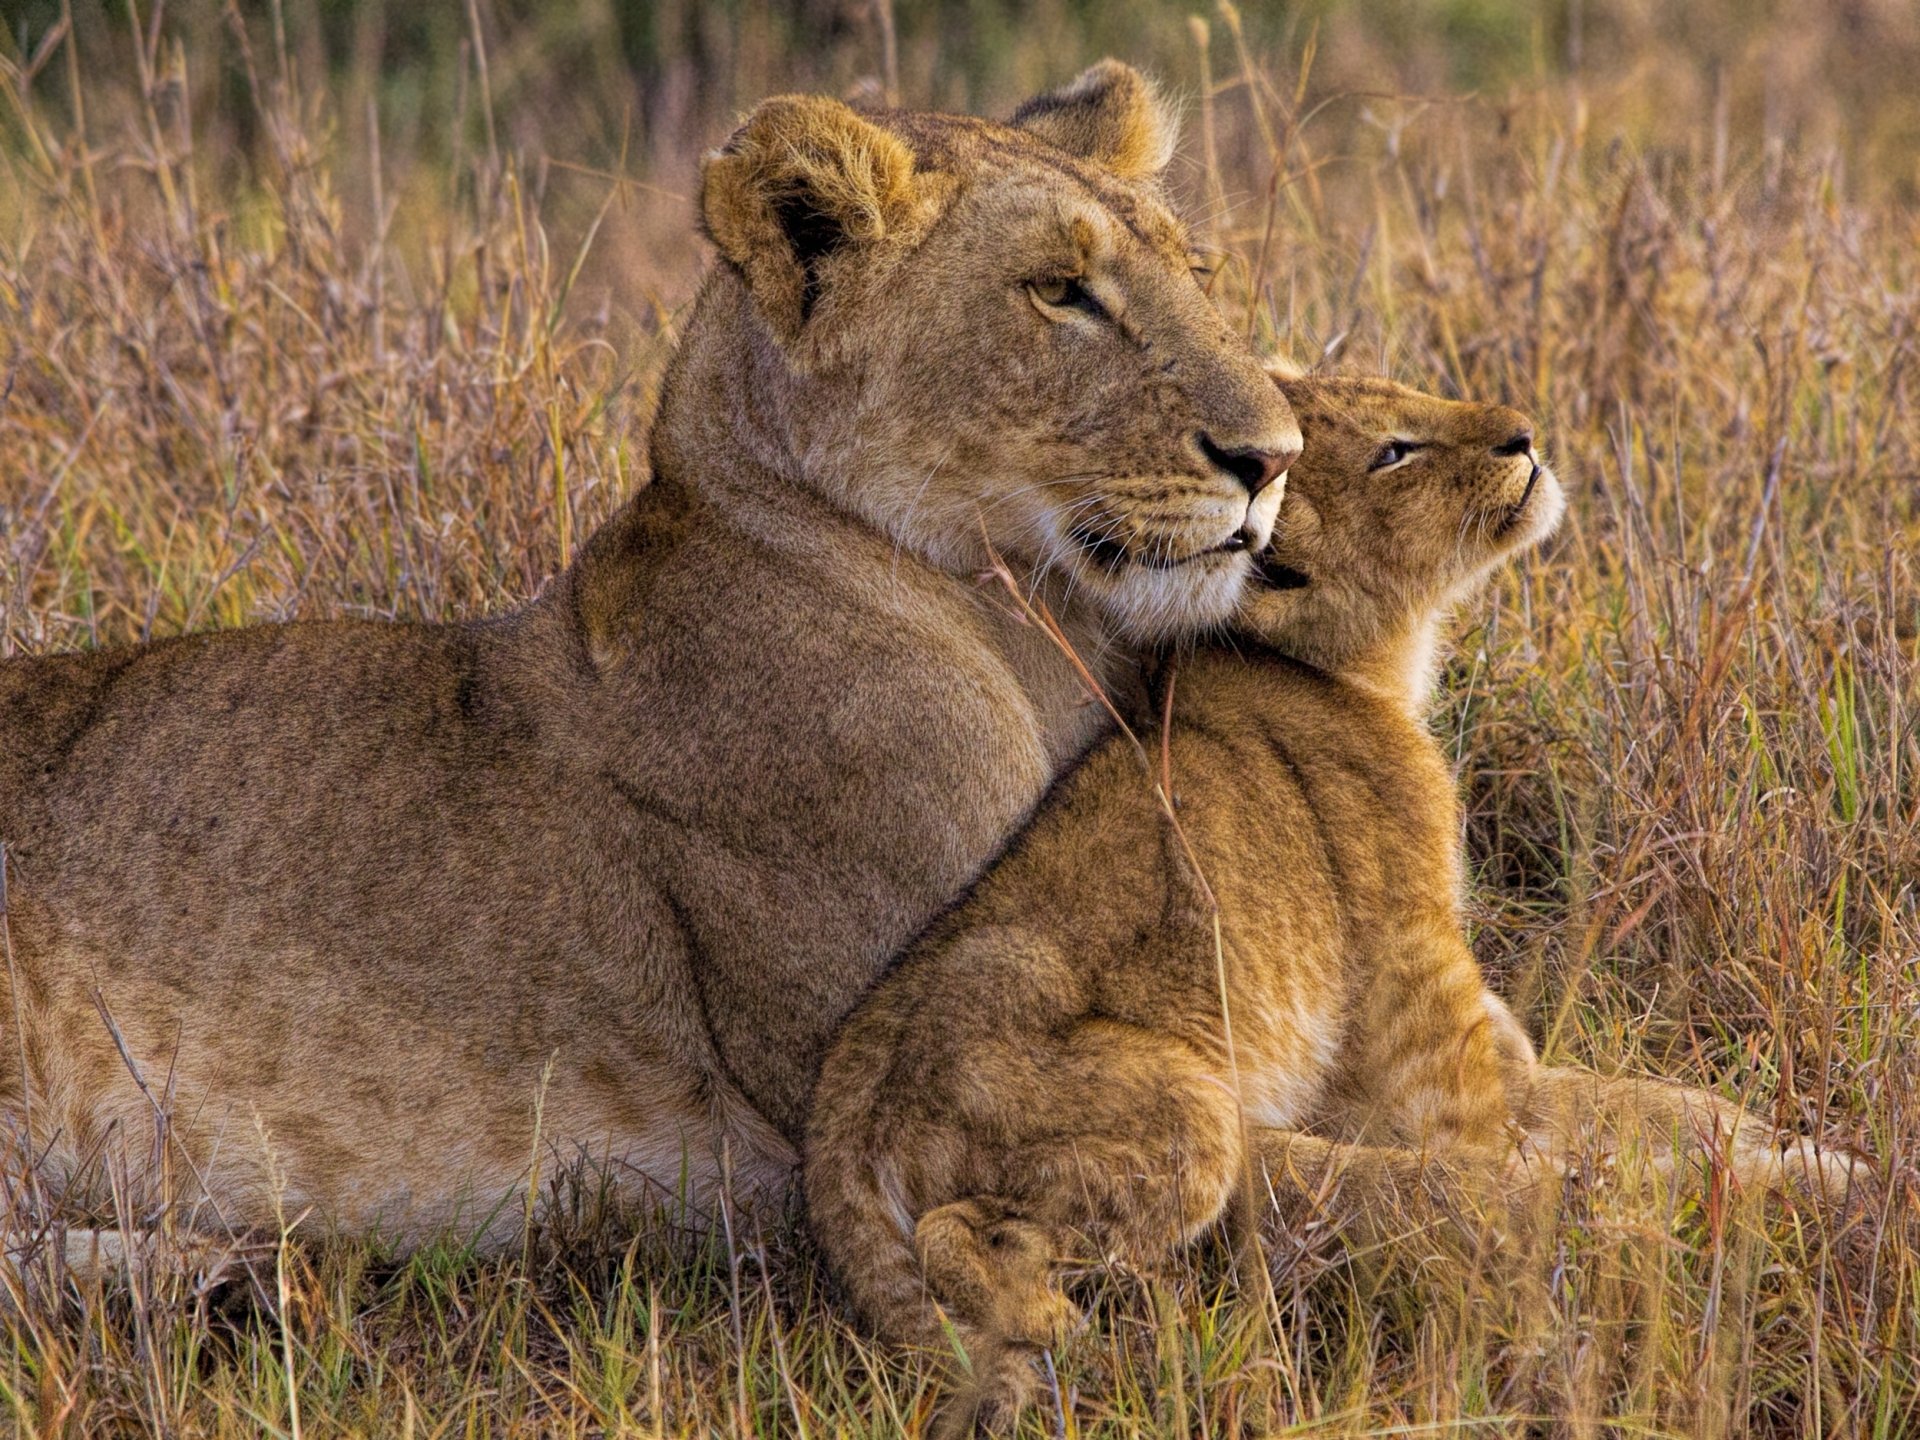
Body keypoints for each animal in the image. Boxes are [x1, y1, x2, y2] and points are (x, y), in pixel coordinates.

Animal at [0, 62, 1300, 1273]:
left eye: (1199, 273)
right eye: (1058, 291)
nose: (1275, 457)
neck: (1032, 632)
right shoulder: (907, 1098)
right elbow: (1304, 1170)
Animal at [803, 376, 1856, 1433]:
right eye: (1394, 451)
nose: (1524, 435)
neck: (1368, 669)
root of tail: (837, 1124)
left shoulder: (1475, 1061)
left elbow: (1647, 1104)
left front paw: (1800, 1152)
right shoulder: (1422, 1024)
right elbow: (1504, 1160)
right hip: (1188, 1113)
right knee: (959, 1232)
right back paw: (1068, 1331)